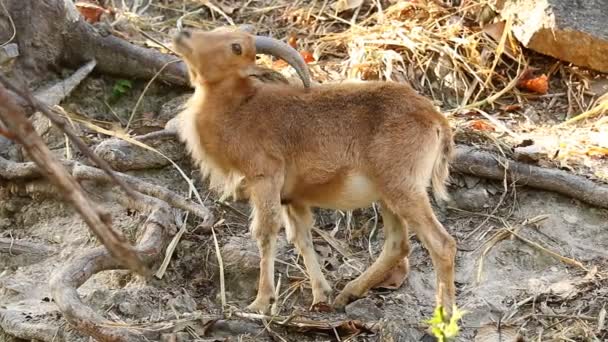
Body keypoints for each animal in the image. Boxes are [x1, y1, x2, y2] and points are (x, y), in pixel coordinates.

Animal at [171, 26, 456, 316]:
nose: (183, 33)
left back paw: (444, 314)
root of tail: (437, 120)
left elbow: (266, 233)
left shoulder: (265, 178)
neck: (241, 108)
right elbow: (302, 239)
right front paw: (321, 295)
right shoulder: (292, 198)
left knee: (441, 243)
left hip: (404, 188)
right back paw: (347, 294)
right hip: (388, 196)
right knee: (398, 244)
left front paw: (262, 301)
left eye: (236, 47)